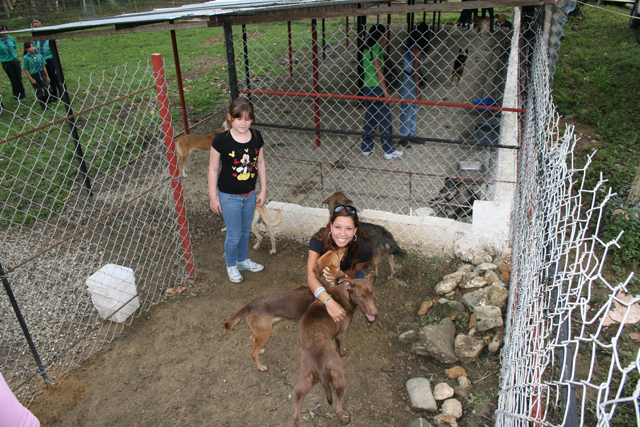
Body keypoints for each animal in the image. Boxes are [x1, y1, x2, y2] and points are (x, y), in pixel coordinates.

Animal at [292, 276, 378, 426]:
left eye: (372, 294)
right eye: (362, 297)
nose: (375, 313)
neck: (344, 294)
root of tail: (320, 367)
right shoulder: (341, 334)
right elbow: (340, 346)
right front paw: (342, 352)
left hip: (303, 381)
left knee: (296, 412)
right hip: (339, 379)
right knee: (338, 407)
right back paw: (344, 419)